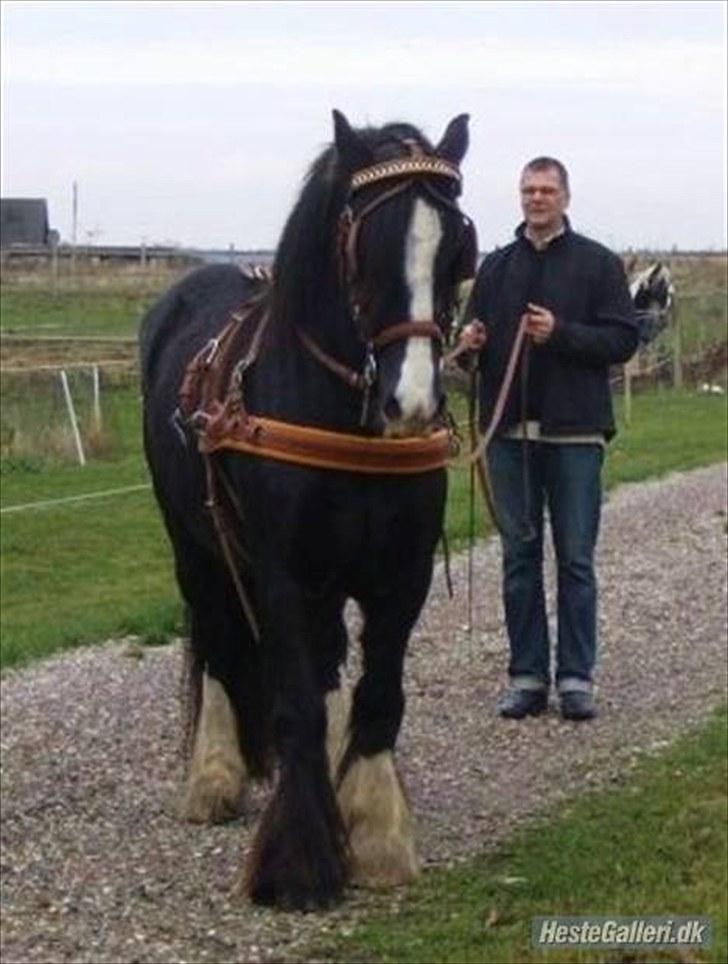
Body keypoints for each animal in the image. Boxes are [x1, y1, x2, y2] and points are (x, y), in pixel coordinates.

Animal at [139, 109, 474, 908]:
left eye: (457, 246)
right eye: (367, 247)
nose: (411, 404)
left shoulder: (401, 576)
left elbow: (377, 694)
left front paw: (375, 831)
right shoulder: (283, 575)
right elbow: (293, 701)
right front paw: (298, 860)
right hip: (197, 548)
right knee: (221, 643)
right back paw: (215, 776)